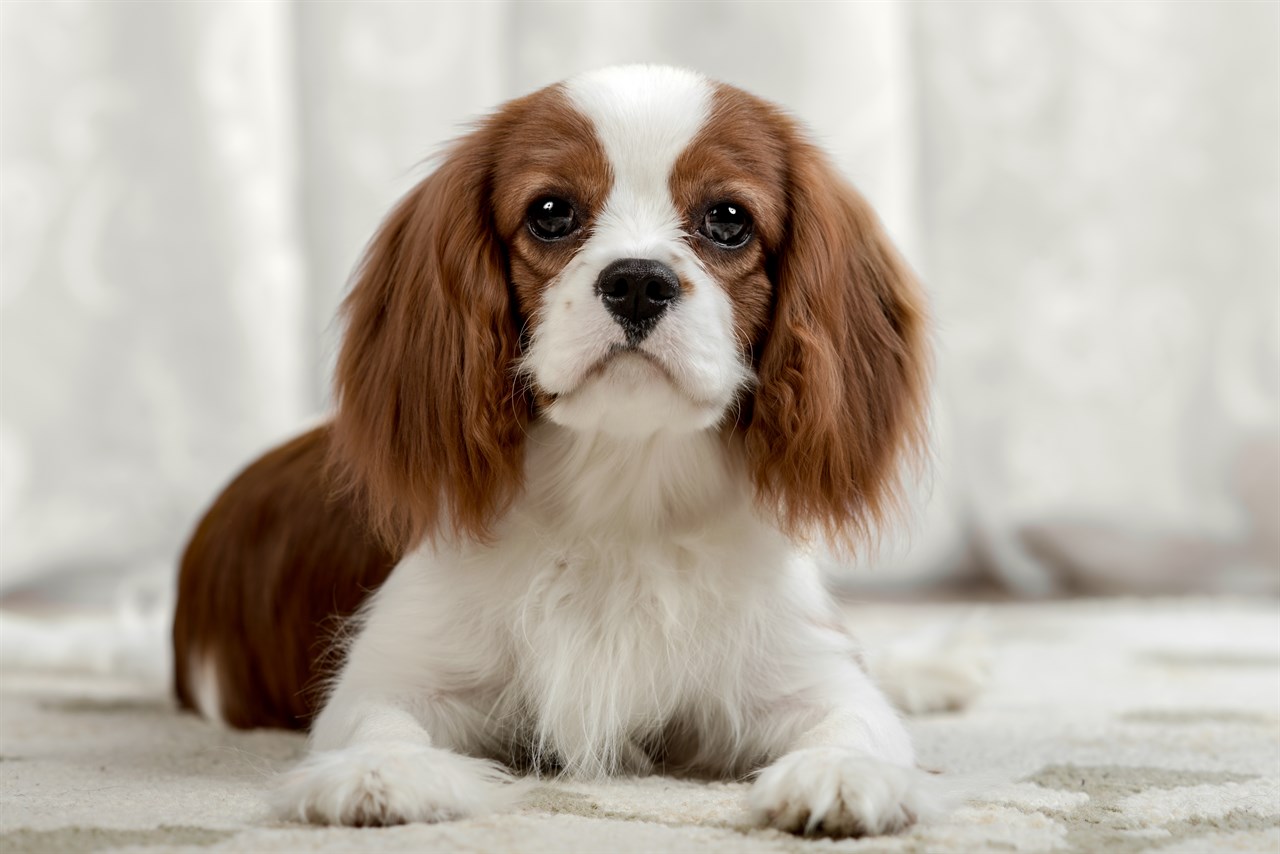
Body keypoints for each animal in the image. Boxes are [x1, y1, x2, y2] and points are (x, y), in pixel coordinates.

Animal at [175, 65, 942, 834]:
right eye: (551, 212)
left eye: (729, 220)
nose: (638, 281)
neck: (620, 488)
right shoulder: (396, 670)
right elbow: (379, 718)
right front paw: (381, 773)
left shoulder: (801, 669)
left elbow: (856, 717)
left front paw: (842, 774)